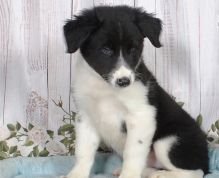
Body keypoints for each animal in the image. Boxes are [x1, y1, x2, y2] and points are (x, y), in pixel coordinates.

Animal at [63, 5, 209, 178]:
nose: (124, 81)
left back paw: (161, 175)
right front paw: (76, 174)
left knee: (196, 172)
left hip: (168, 142)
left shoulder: (141, 116)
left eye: (133, 49)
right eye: (106, 50)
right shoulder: (86, 116)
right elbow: (83, 151)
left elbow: (132, 153)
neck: (105, 88)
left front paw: (129, 175)